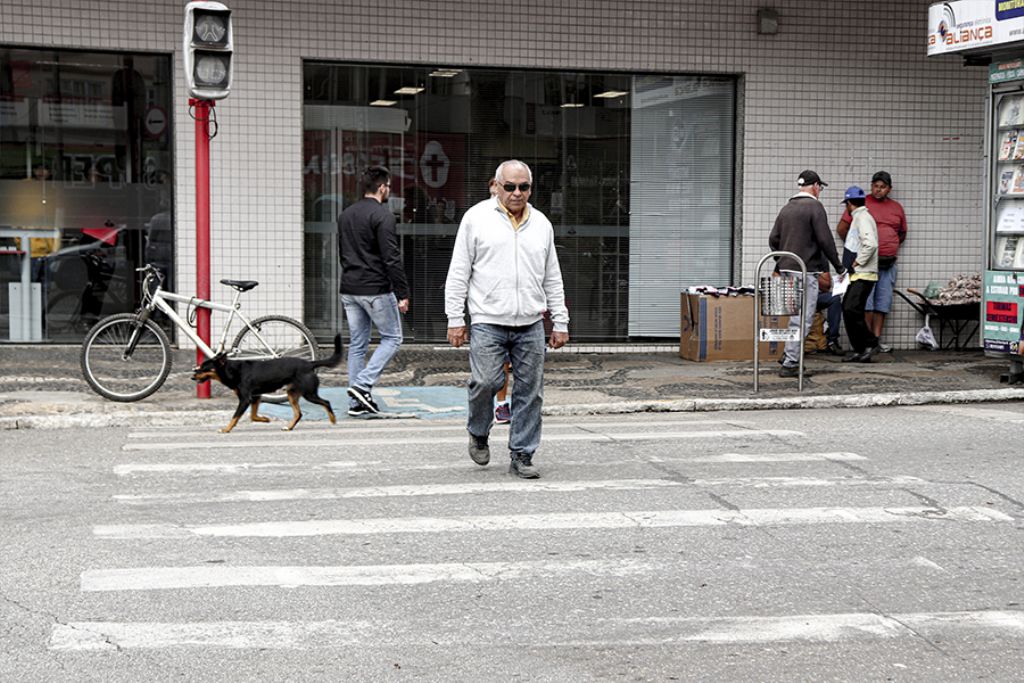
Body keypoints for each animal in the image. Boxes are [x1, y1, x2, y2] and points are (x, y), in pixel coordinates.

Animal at [193, 335, 346, 432]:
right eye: (200, 367)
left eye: (204, 368)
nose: (193, 376)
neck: (233, 370)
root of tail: (310, 364)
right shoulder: (256, 397)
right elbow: (252, 416)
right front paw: (265, 419)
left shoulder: (245, 399)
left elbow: (235, 416)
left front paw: (226, 429)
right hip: (291, 394)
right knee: (298, 414)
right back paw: (289, 427)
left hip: (309, 393)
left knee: (326, 402)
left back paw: (333, 420)